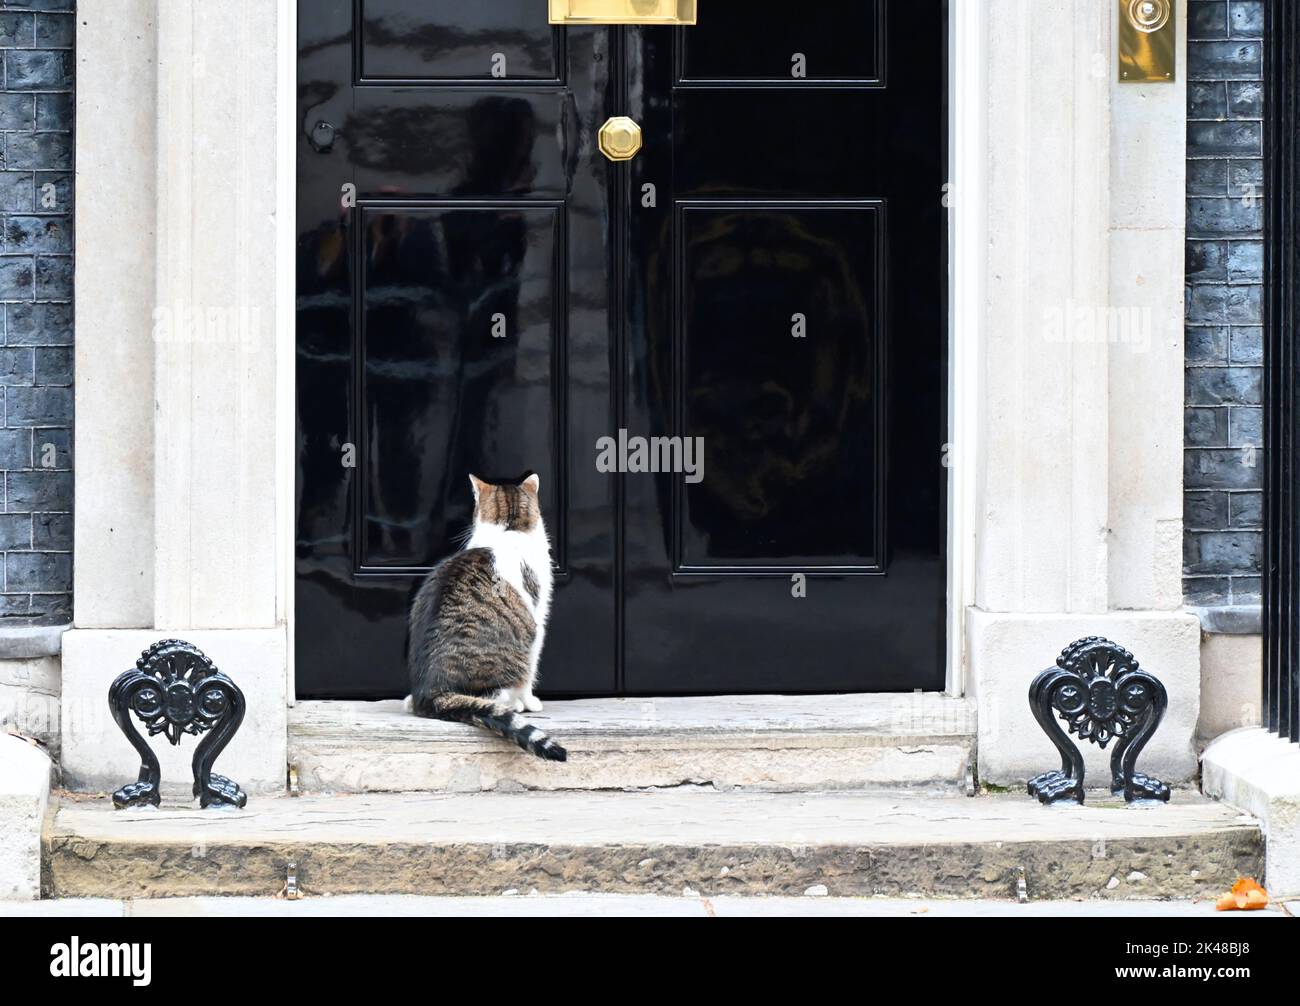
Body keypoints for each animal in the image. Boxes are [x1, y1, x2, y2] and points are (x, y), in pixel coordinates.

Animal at [403, 475, 566, 759]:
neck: (508, 529)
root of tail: (431, 693)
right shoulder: (538, 621)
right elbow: (531, 671)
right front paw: (531, 702)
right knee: (494, 695)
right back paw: (514, 703)